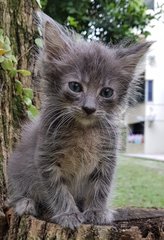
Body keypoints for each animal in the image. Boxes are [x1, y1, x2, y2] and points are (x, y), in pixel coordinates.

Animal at [7, 12, 152, 229]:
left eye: (106, 92)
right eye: (75, 87)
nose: (89, 108)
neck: (83, 131)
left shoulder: (107, 159)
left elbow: (101, 188)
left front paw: (97, 211)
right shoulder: (46, 159)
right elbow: (59, 191)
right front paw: (69, 214)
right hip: (16, 170)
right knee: (17, 192)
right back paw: (26, 203)